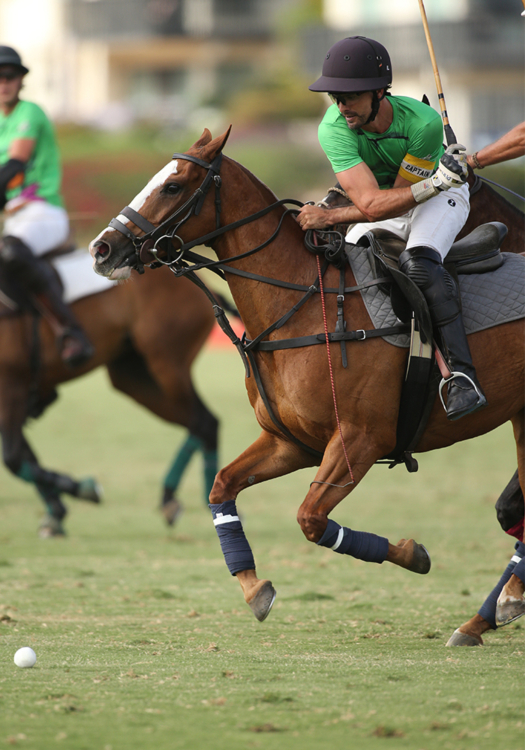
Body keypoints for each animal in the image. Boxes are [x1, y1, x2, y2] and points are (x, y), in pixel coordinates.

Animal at [0, 262, 218, 536]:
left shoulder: (12, 384)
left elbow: (14, 458)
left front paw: (85, 489)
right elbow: (25, 455)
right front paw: (57, 513)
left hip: (167, 365)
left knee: (202, 421)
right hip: (134, 375)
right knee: (204, 423)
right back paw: (175, 499)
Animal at [89, 129, 524, 636]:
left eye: (173, 186)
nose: (101, 250)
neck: (299, 305)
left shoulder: (361, 439)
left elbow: (311, 519)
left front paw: (412, 553)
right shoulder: (291, 441)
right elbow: (223, 487)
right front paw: (254, 588)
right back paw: (496, 608)